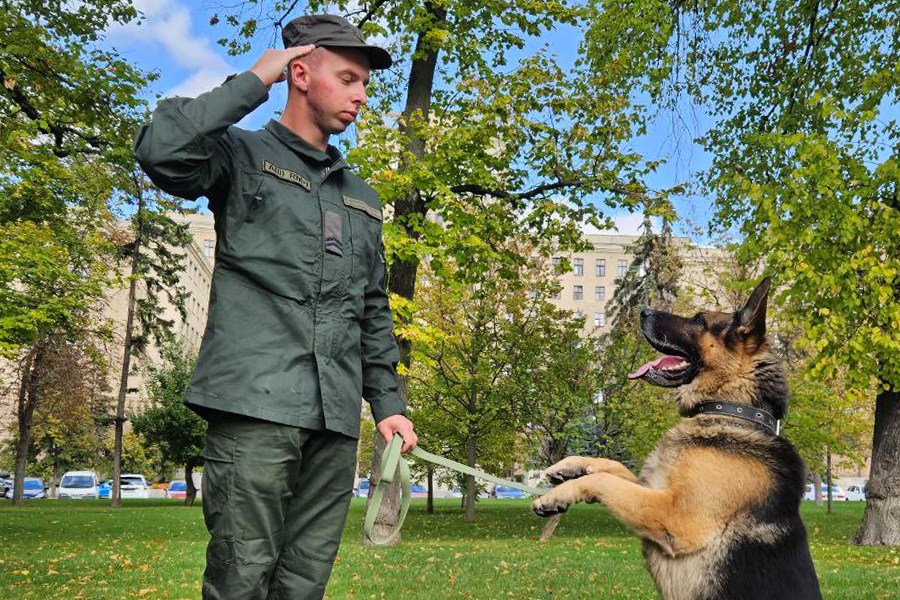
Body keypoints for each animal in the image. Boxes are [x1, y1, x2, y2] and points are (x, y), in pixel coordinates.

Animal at [536, 280, 824, 600]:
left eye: (699, 320)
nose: (643, 310)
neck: (729, 409)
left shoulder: (674, 515)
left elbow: (604, 480)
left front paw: (555, 496)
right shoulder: (654, 487)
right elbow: (611, 466)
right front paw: (569, 466)